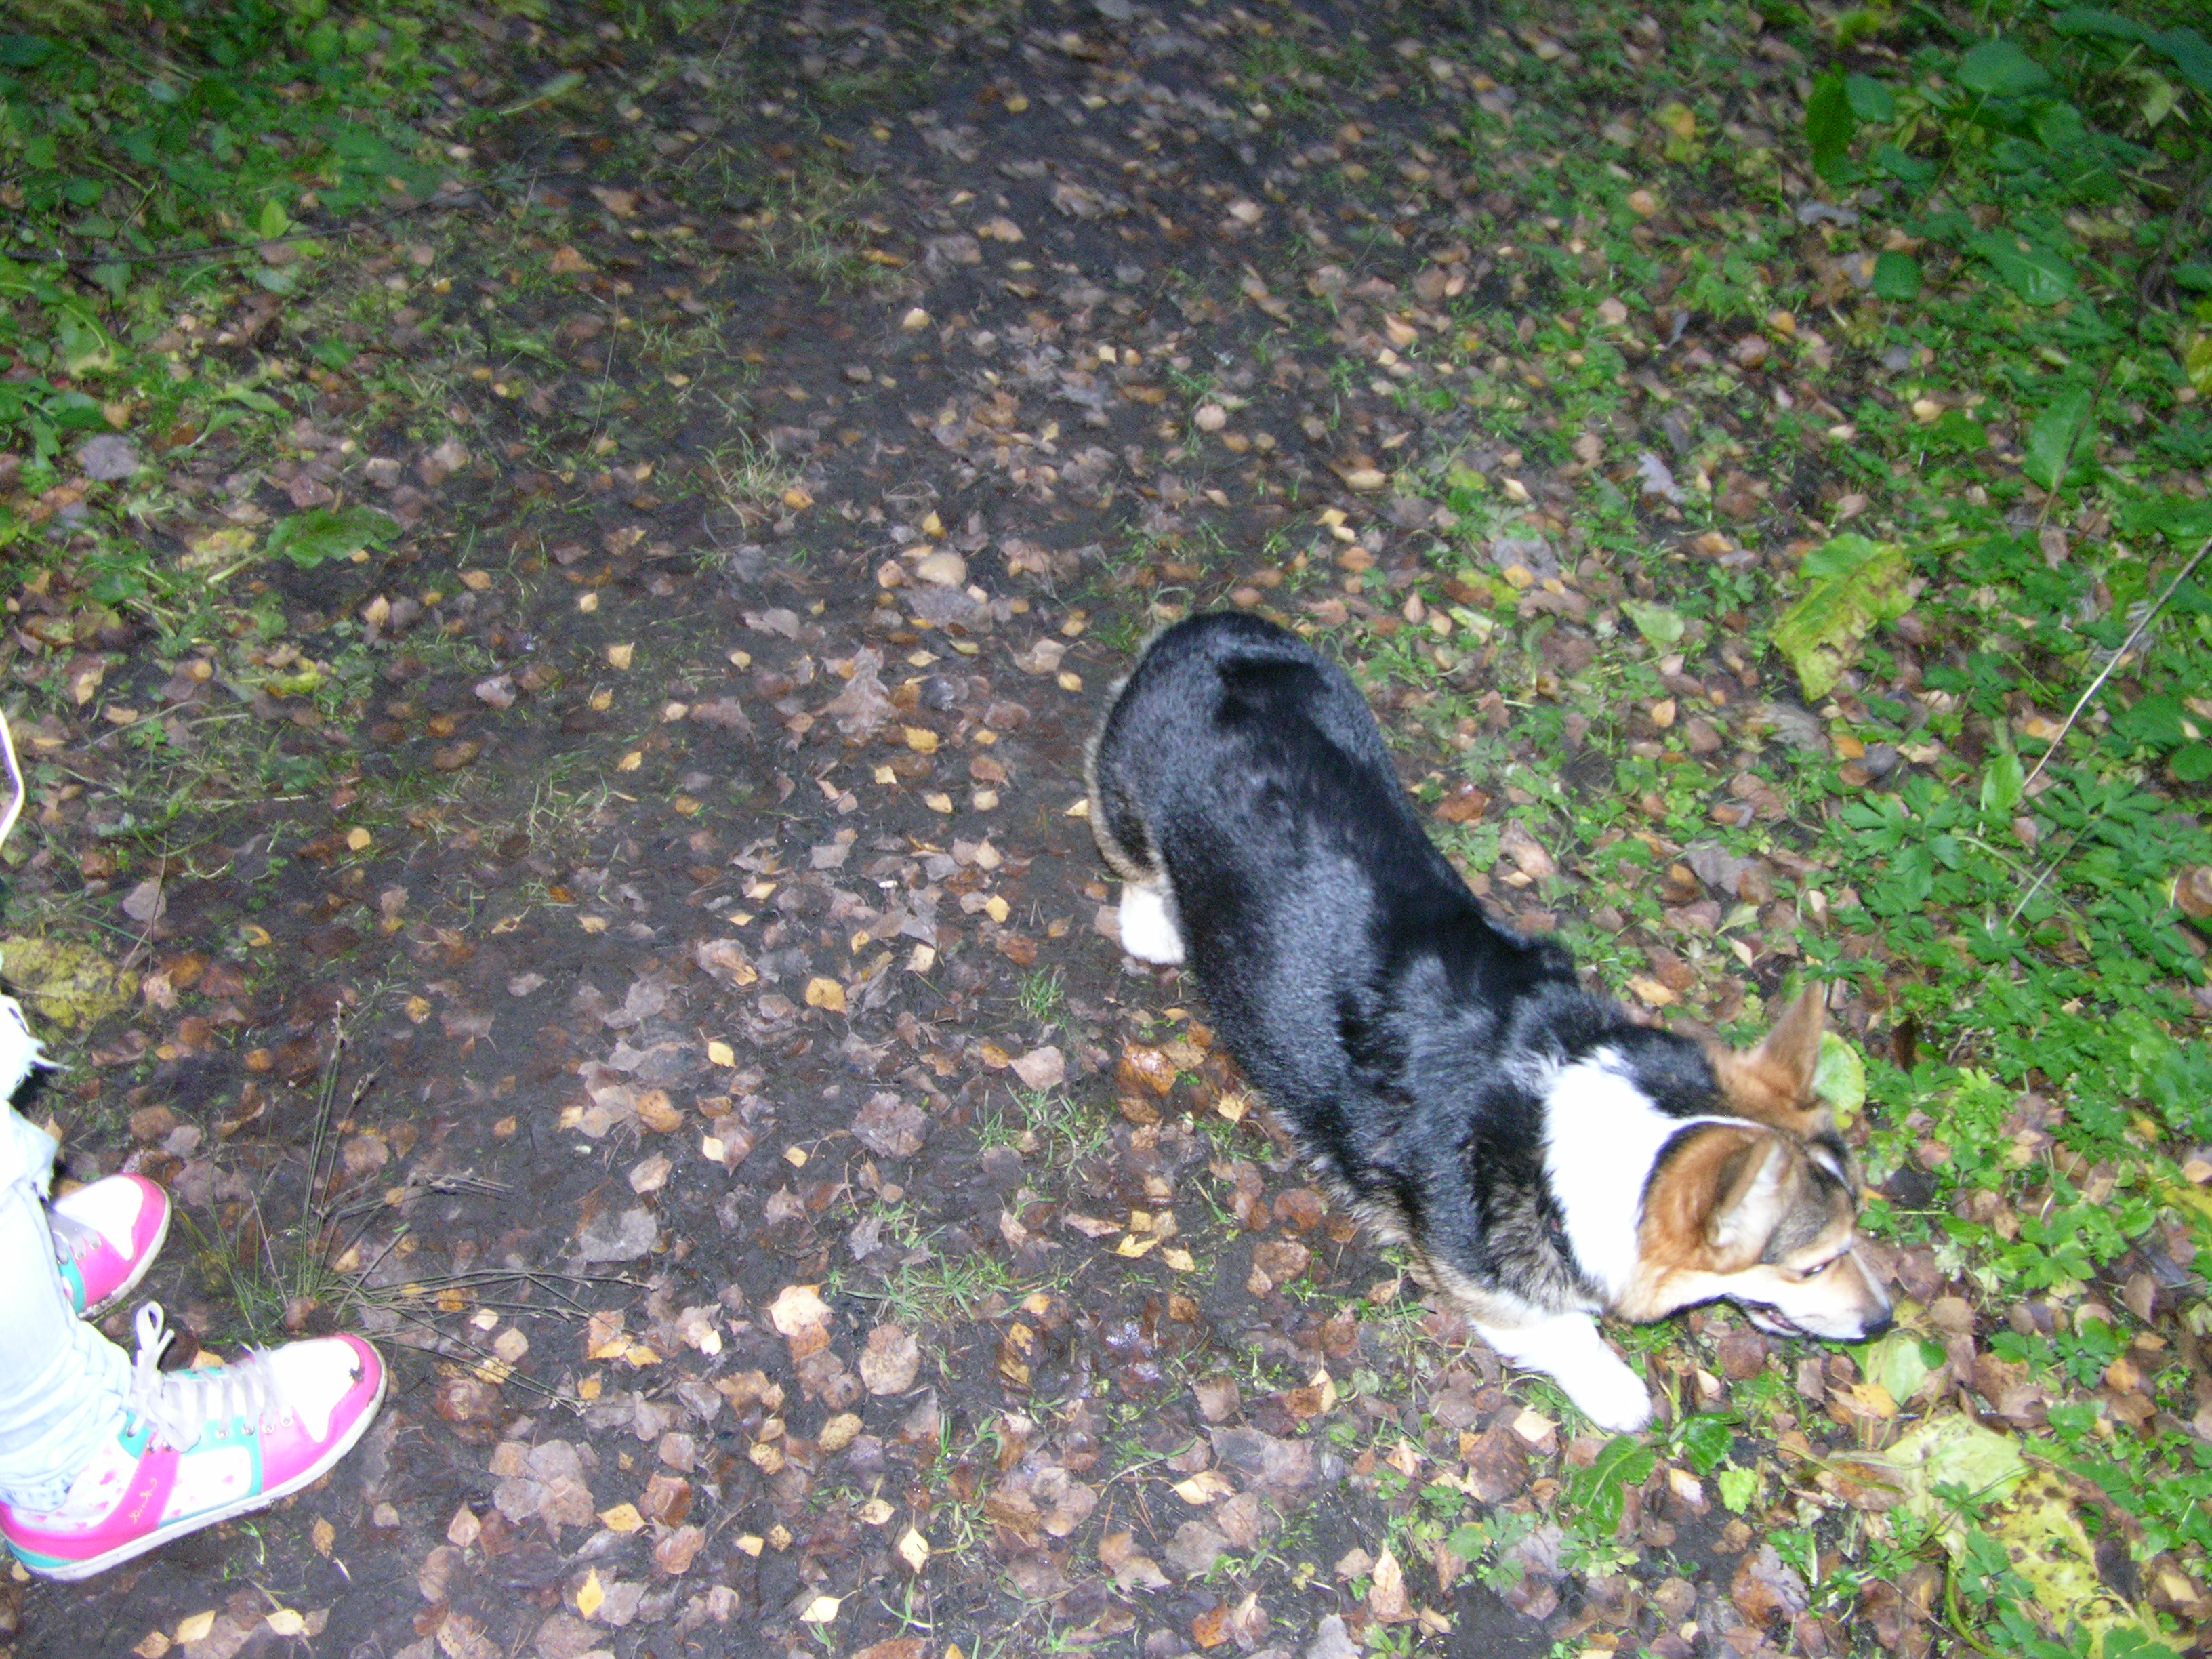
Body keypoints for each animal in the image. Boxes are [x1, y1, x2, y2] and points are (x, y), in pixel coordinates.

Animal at [1086, 612, 1890, 1430]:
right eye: (1813, 1266)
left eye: (1857, 1227)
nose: (1883, 1322)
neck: (1567, 1116)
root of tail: (1212, 627)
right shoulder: (1480, 1275)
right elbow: (1563, 1329)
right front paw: (1619, 1391)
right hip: (1129, 806)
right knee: (1135, 862)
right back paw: (1151, 926)